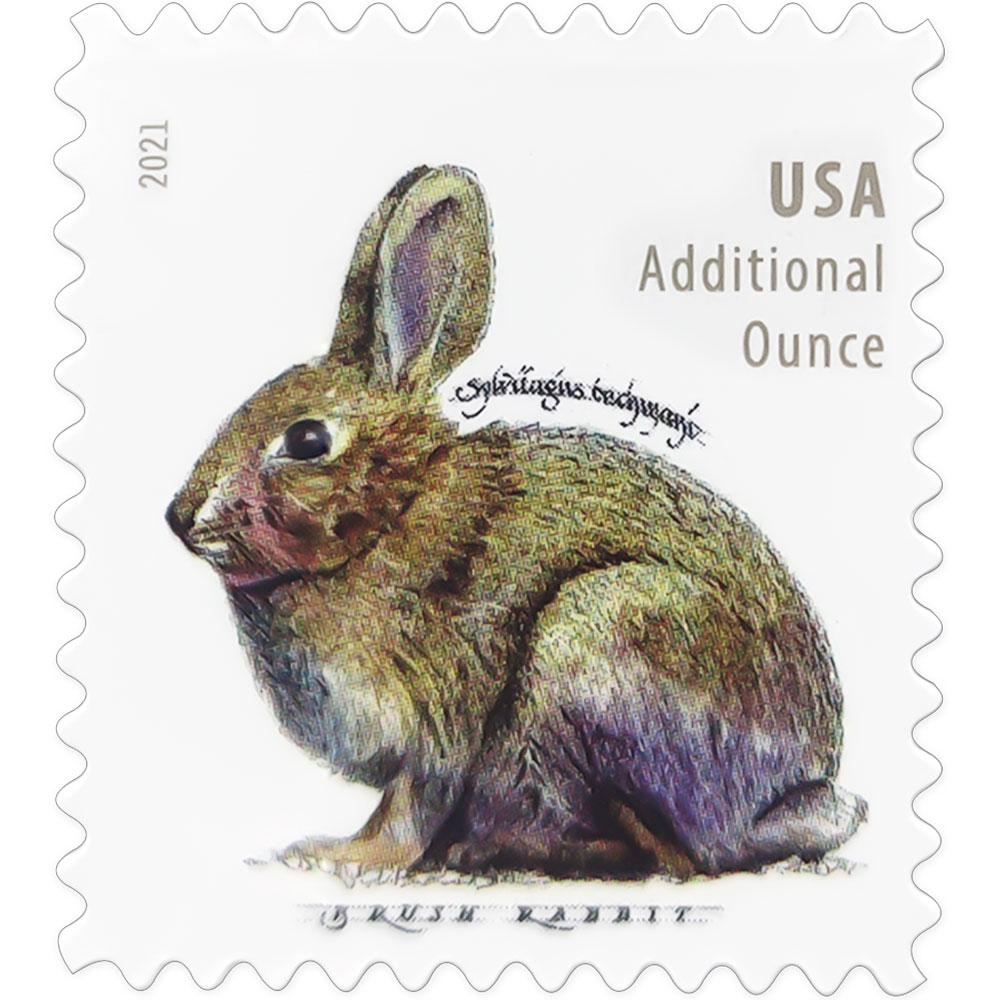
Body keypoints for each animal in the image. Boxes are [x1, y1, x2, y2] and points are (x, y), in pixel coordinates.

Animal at [166, 164, 866, 881]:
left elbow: (411, 808)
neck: (390, 517)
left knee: (684, 854)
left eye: (307, 440)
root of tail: (795, 791)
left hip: (598, 637)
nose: (180, 516)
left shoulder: (439, 714)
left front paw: (342, 856)